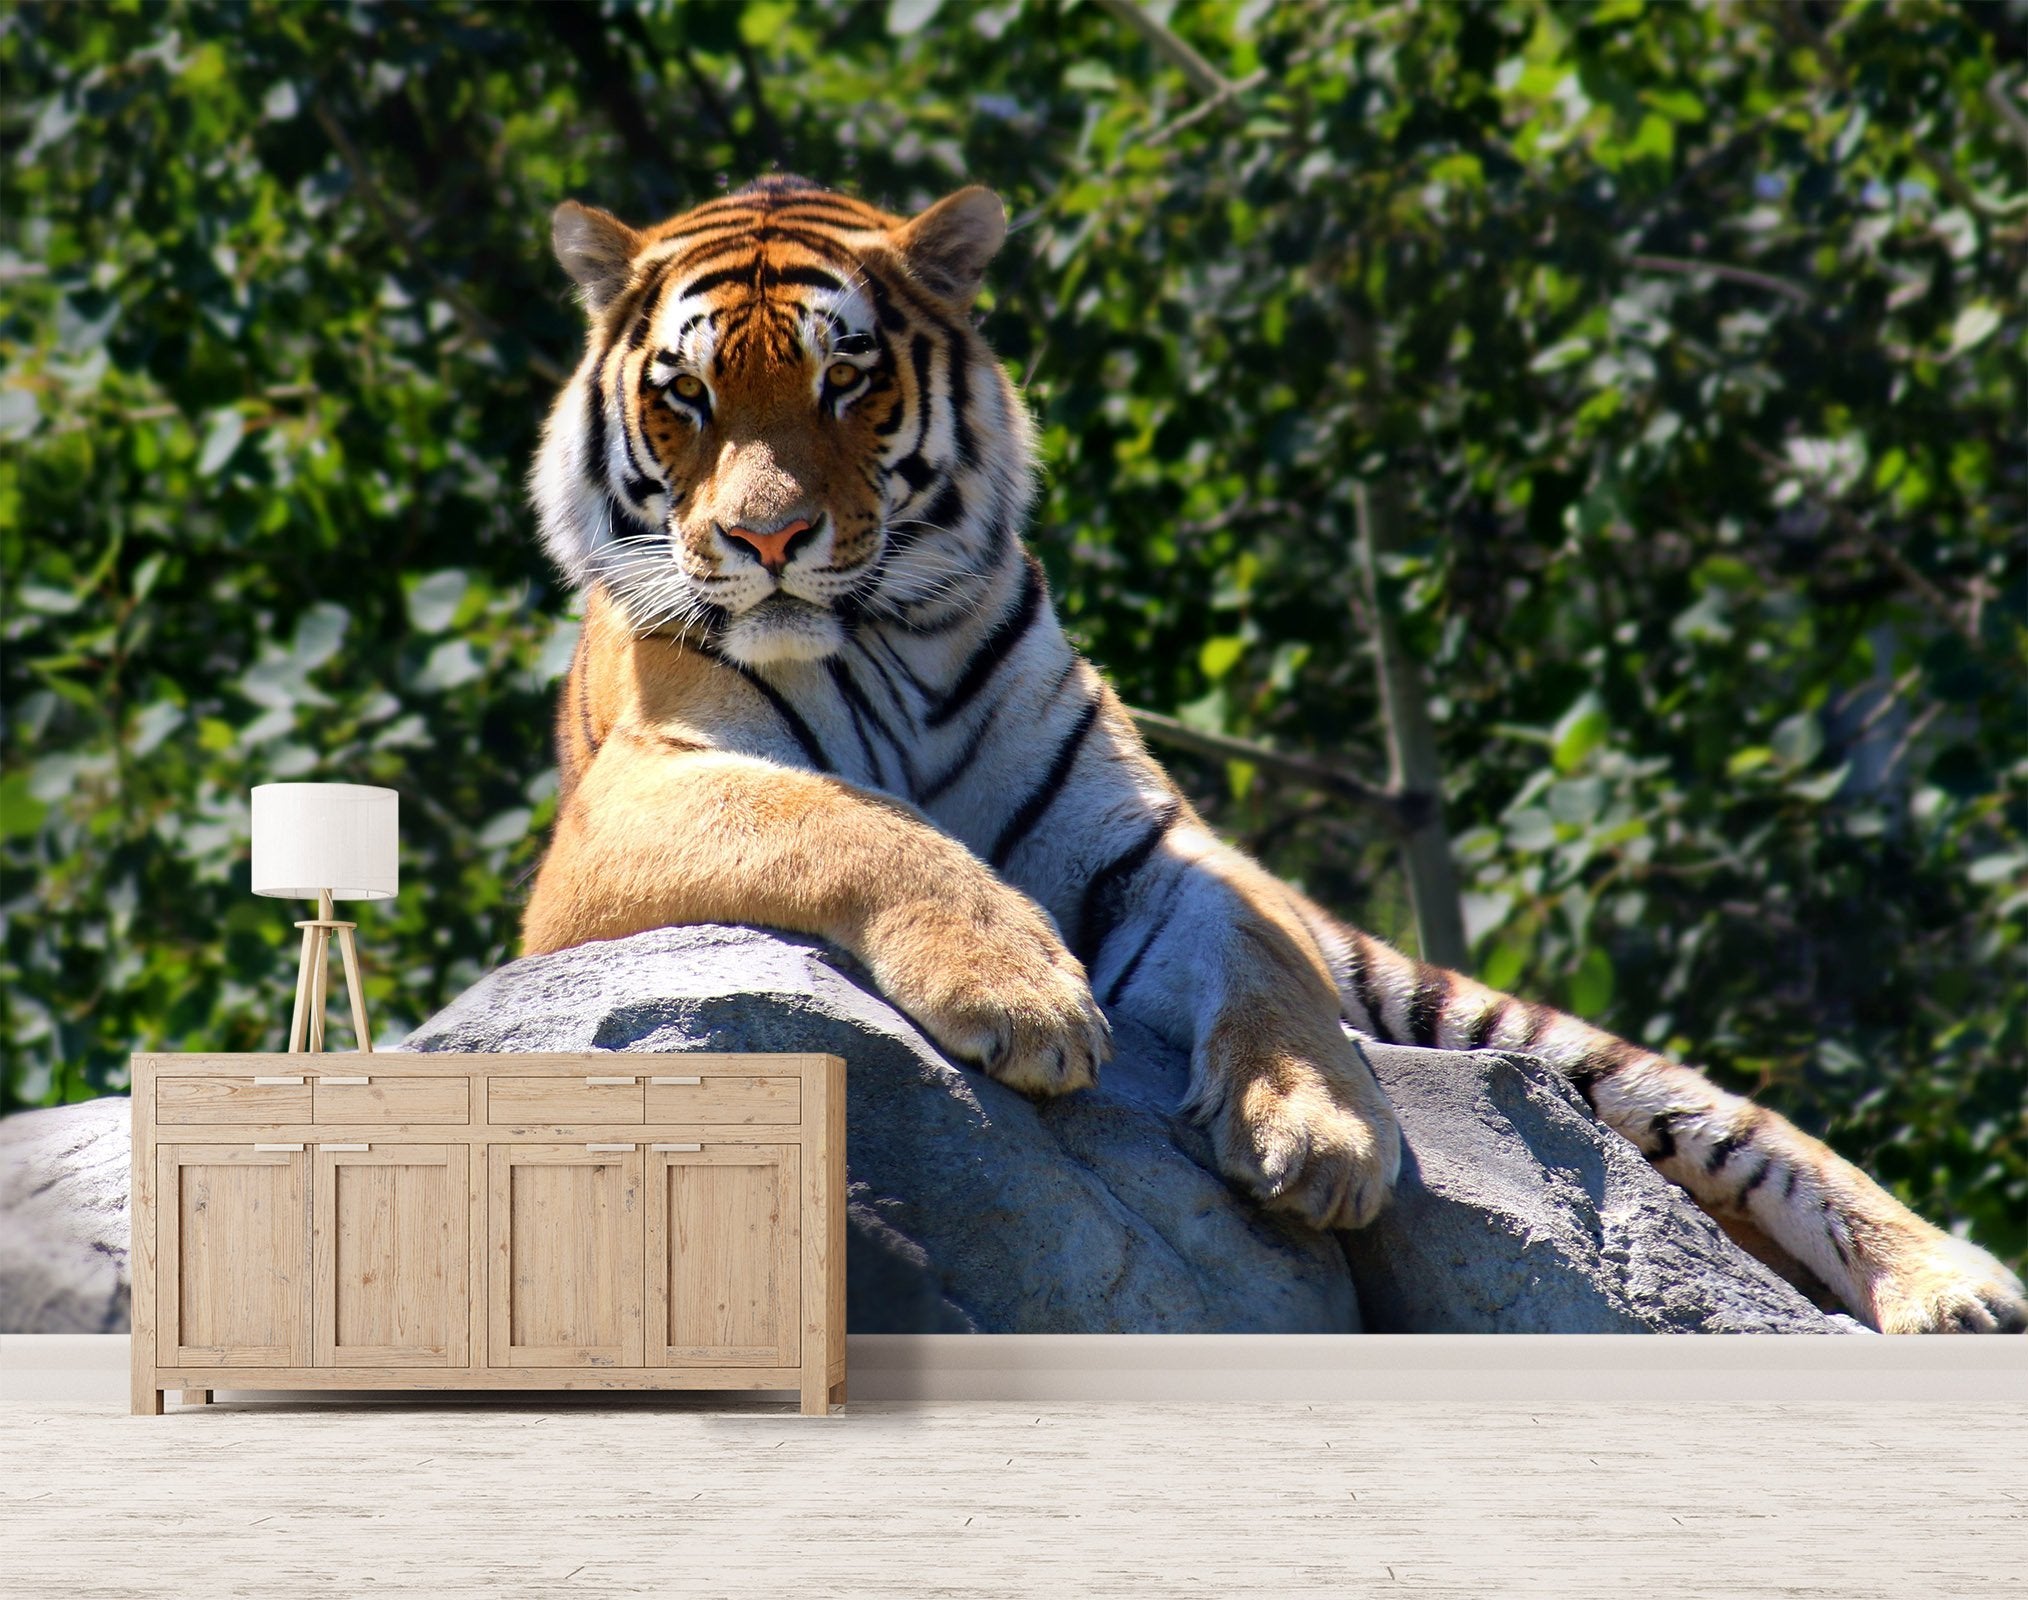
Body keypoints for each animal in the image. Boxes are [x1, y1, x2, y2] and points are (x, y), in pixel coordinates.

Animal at [522, 175, 2025, 1335]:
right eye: (687, 397)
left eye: (845, 380)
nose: (766, 539)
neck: (885, 635)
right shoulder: (628, 808)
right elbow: (857, 822)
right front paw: (1024, 997)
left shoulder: (1155, 845)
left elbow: (1263, 960)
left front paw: (1322, 1136)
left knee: (1737, 1128)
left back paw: (1955, 1287)